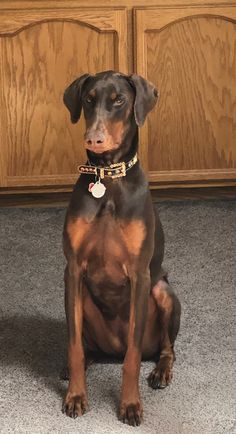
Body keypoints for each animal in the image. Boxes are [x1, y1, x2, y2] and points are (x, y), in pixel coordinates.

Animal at [61, 69, 181, 426]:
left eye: (119, 101)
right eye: (89, 99)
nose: (94, 139)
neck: (108, 178)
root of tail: (109, 349)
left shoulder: (140, 274)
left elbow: (132, 356)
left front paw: (129, 404)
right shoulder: (73, 269)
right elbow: (74, 345)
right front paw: (76, 395)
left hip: (163, 292)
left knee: (165, 349)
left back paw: (160, 372)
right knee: (86, 347)